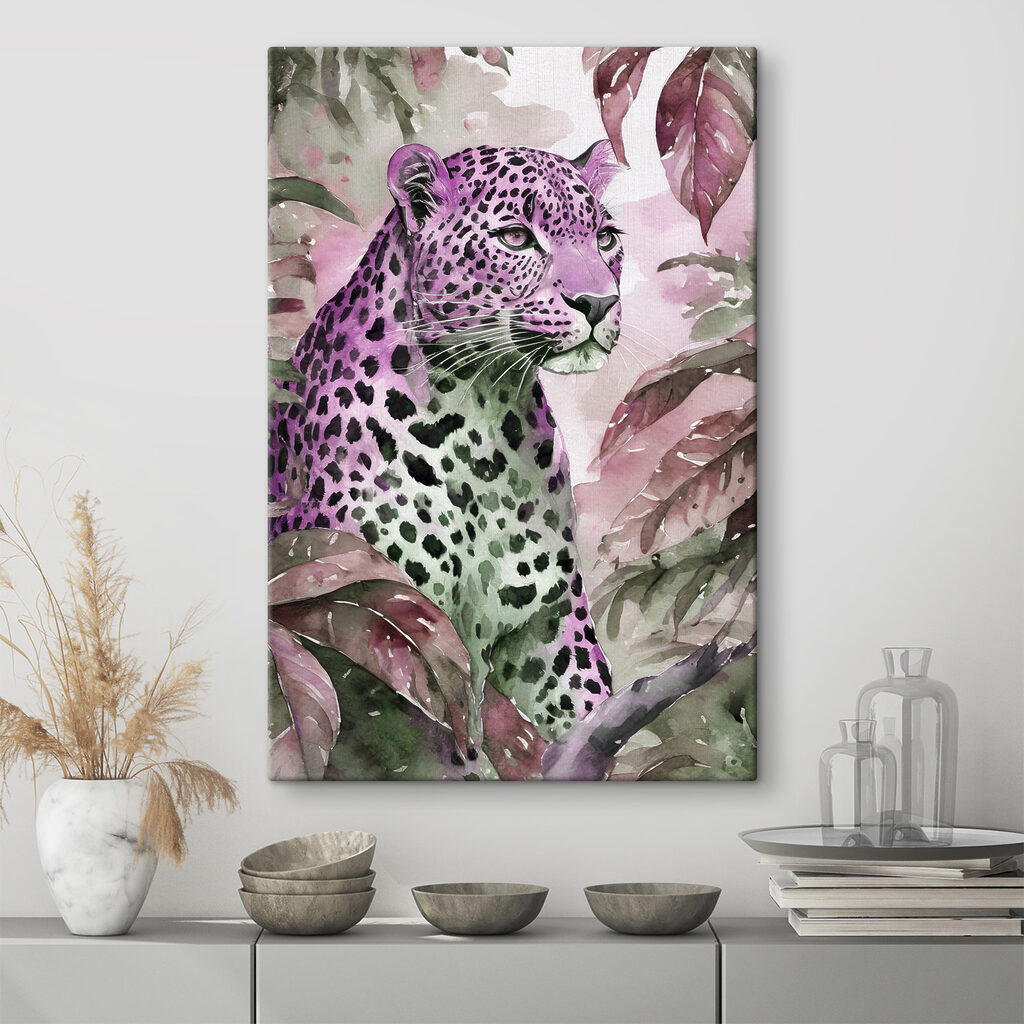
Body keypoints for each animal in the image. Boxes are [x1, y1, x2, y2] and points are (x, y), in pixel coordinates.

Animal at [268, 140, 624, 776]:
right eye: (515, 237)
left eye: (605, 238)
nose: (599, 302)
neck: (482, 421)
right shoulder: (385, 611)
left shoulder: (550, 626)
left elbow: (588, 701)